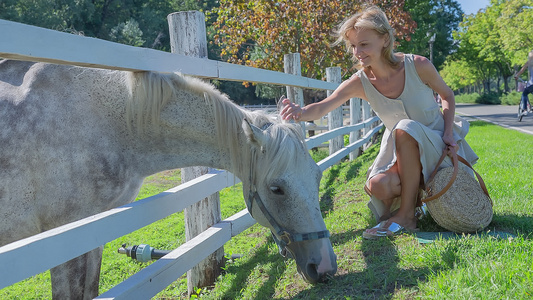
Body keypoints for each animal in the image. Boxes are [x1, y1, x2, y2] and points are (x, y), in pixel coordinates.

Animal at [0, 59, 336, 298]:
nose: (325, 266)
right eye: (276, 189)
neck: (111, 126)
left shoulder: (92, 236)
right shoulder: (65, 242)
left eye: (317, 176)